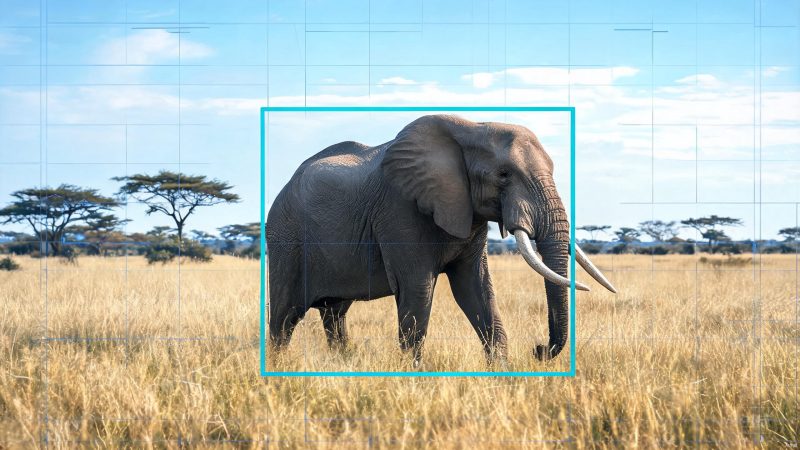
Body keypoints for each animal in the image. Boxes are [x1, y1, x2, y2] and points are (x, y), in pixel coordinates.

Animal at [266, 114, 617, 365]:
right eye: (504, 175)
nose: (539, 349)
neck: (471, 129)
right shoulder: (400, 210)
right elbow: (418, 288)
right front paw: (413, 375)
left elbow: (475, 288)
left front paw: (501, 372)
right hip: (286, 238)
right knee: (284, 316)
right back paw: (278, 365)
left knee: (334, 314)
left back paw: (342, 360)